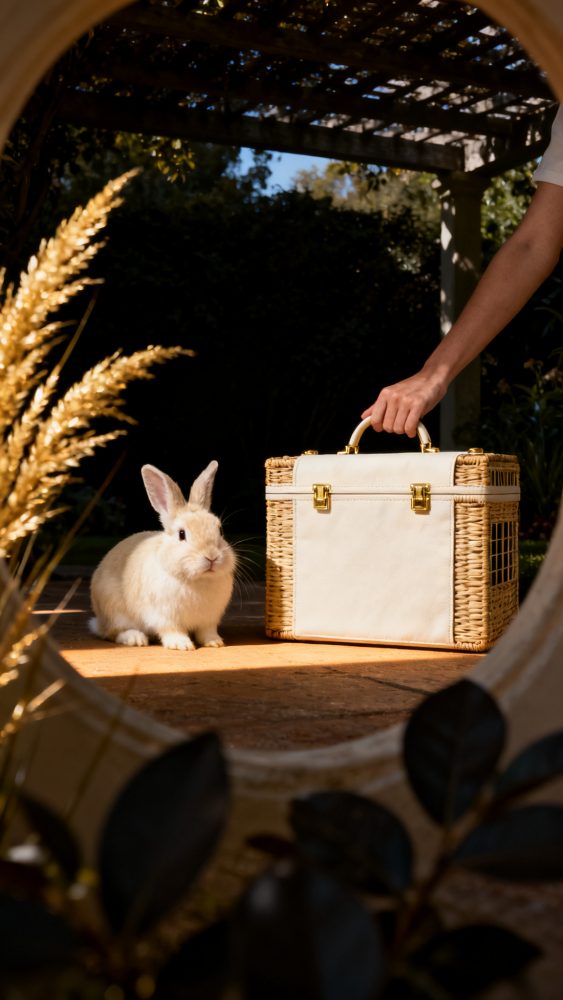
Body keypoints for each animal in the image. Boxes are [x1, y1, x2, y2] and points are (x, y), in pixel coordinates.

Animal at [89, 460, 236, 650]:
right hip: (114, 612)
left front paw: (214, 642)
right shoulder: (165, 617)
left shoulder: (208, 619)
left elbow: (206, 631)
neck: (198, 580)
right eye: (181, 534)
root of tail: (99, 621)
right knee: (111, 632)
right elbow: (172, 630)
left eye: (220, 530)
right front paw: (182, 645)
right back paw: (136, 639)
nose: (211, 557)